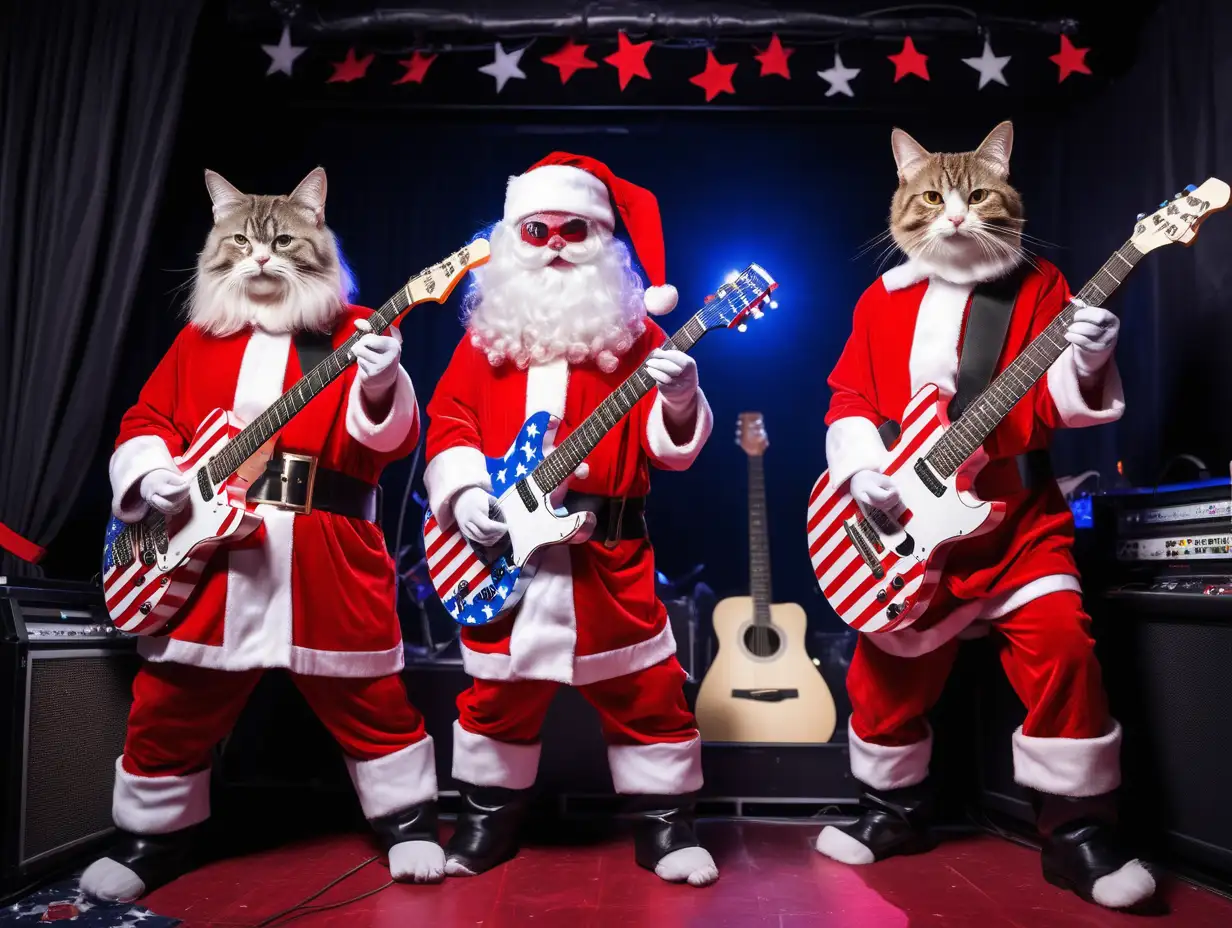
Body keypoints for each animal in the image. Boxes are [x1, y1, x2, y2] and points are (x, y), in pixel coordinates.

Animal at [79, 166, 443, 897]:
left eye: (284, 240)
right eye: (242, 240)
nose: (262, 261)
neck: (270, 320)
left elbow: (389, 421)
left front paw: (376, 367)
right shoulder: (162, 392)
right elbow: (146, 421)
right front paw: (164, 491)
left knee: (384, 727)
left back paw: (413, 838)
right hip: (185, 662)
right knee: (166, 733)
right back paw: (134, 857)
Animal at [421, 152, 719, 882]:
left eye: (575, 227)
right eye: (537, 228)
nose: (556, 242)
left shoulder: (653, 339)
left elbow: (668, 431)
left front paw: (677, 384)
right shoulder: (461, 377)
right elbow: (450, 422)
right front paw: (479, 515)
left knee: (657, 727)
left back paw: (676, 846)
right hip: (492, 660)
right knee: (491, 724)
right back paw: (476, 838)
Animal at [813, 119, 1158, 907]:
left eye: (977, 195)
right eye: (931, 196)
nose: (954, 219)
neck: (953, 273)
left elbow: (1064, 394)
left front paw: (1091, 344)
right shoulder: (860, 344)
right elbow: (850, 401)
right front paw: (878, 493)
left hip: (1036, 592)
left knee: (1065, 715)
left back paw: (1092, 856)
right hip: (897, 637)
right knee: (888, 709)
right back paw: (877, 825)